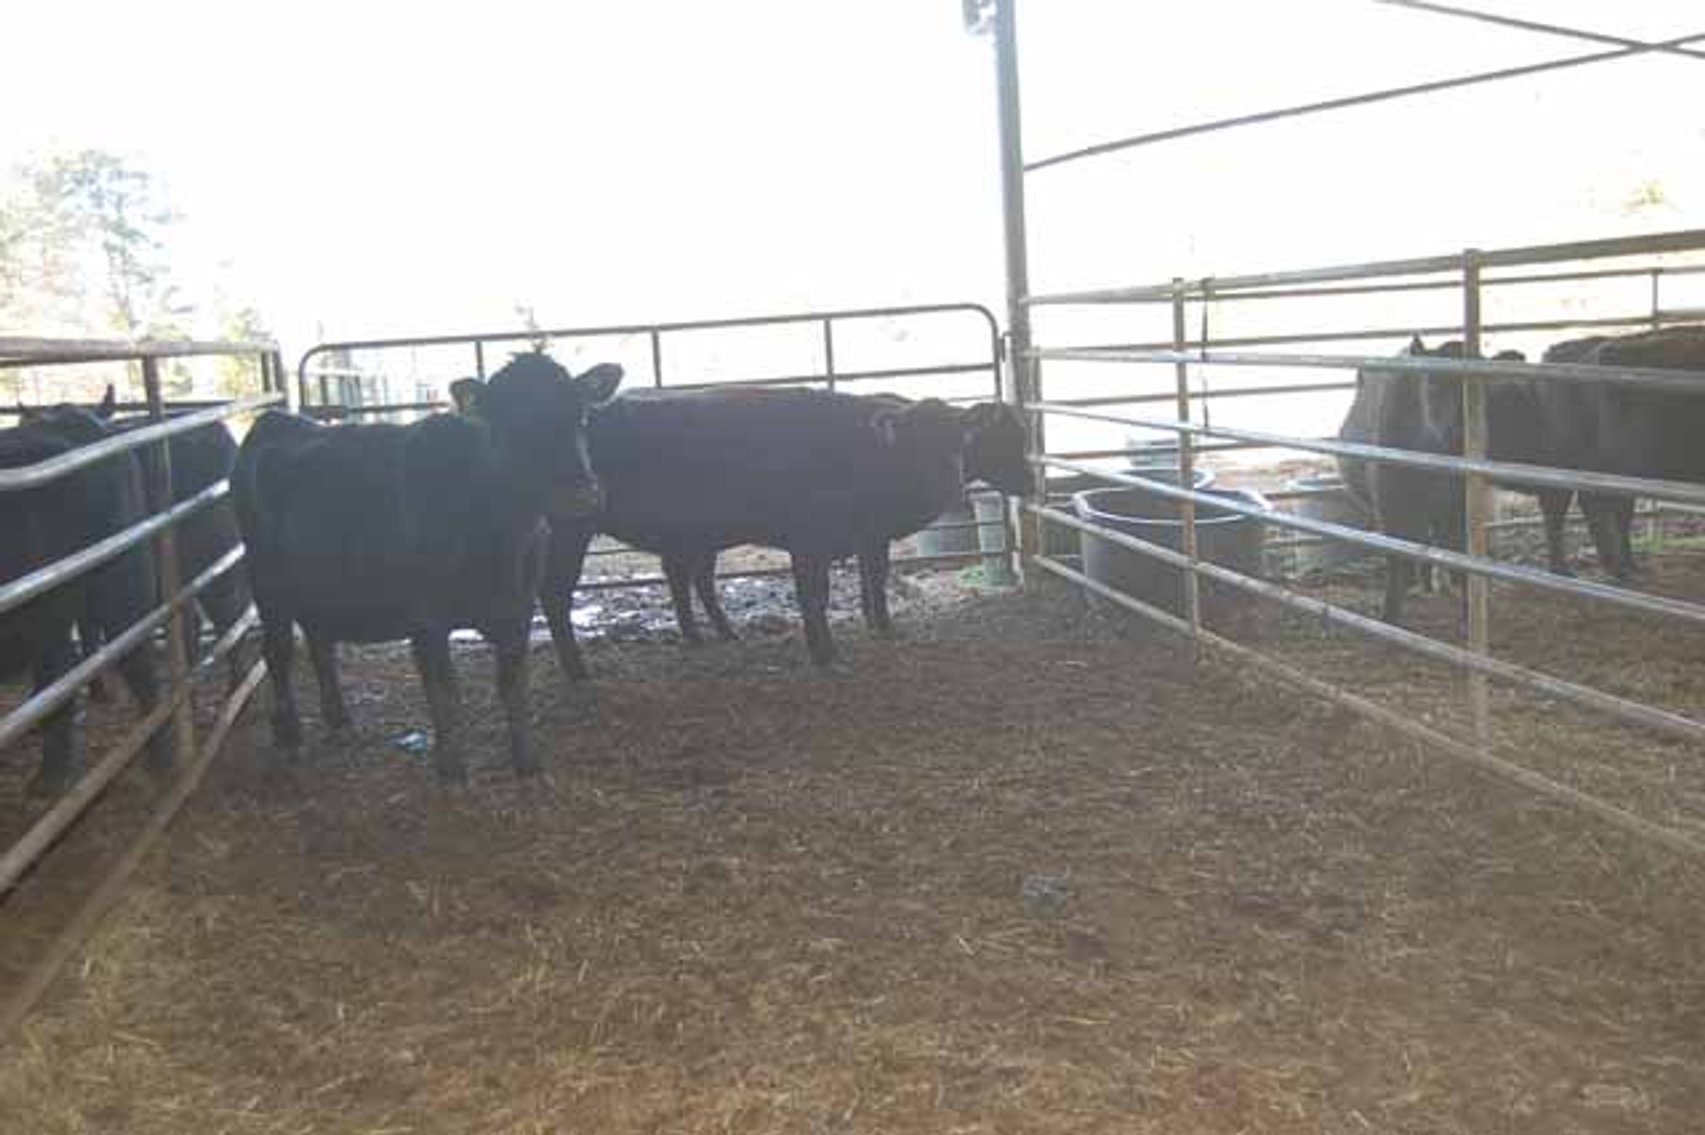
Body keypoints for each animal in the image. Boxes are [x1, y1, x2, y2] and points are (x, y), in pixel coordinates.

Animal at [234, 352, 621, 781]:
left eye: (580, 416)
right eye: (507, 425)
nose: (578, 494)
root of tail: (277, 419)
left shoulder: (518, 611)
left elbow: (513, 685)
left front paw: (527, 763)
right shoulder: (427, 620)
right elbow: (445, 693)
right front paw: (451, 768)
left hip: (316, 588)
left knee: (320, 644)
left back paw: (339, 720)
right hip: (267, 586)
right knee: (278, 652)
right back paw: (289, 736)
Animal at [537, 389, 1030, 673]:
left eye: (960, 442)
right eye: (918, 445)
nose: (1029, 481)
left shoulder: (860, 538)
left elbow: (866, 582)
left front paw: (876, 628)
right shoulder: (813, 540)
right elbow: (818, 595)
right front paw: (826, 653)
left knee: (688, 579)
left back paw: (710, 635)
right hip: (570, 530)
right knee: (556, 594)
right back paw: (577, 670)